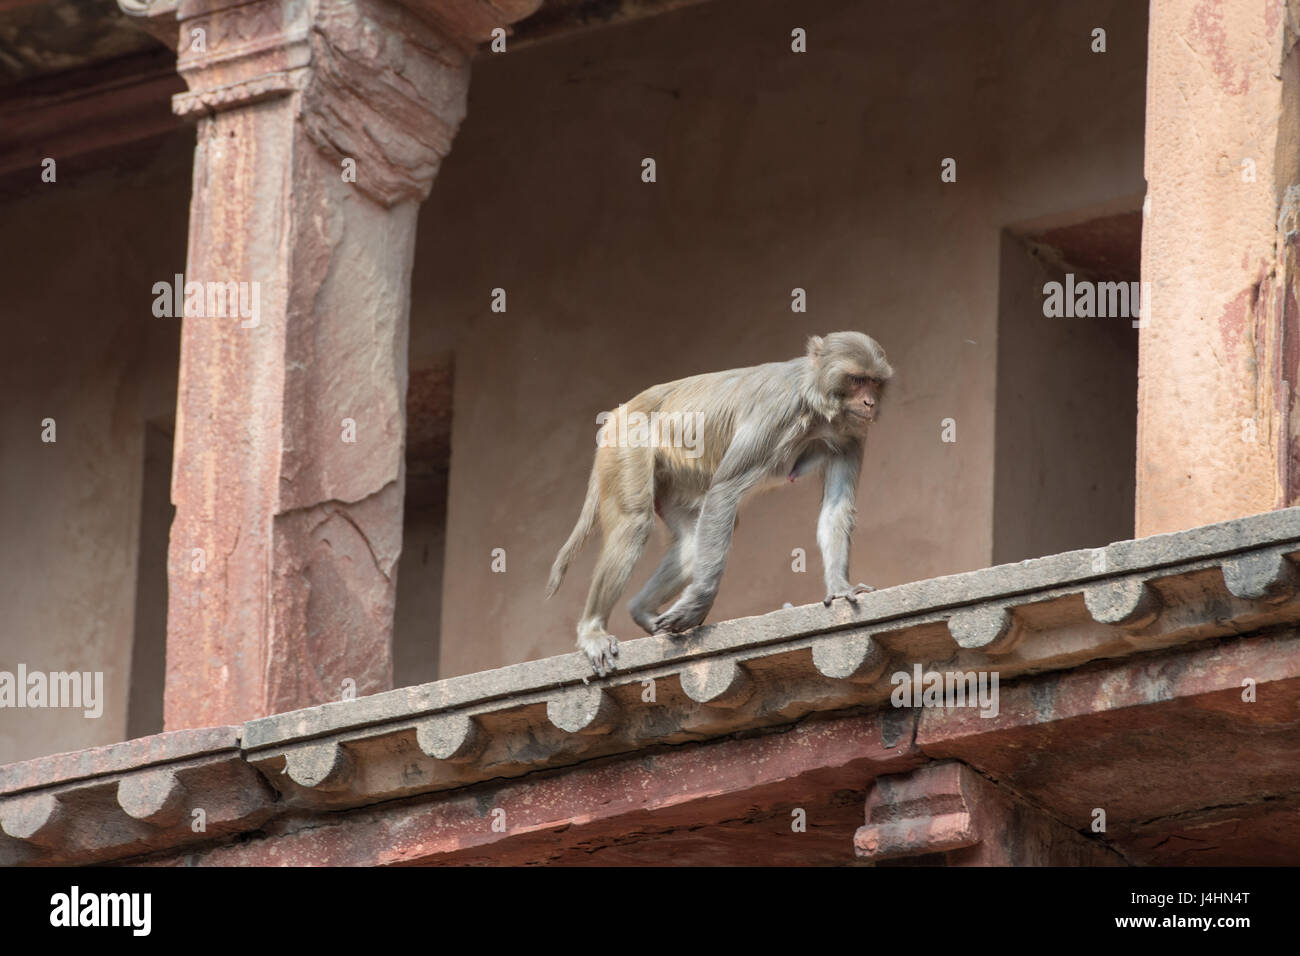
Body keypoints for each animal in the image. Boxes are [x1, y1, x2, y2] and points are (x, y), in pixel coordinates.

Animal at [540, 332, 894, 676]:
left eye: (875, 382)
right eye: (856, 379)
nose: (869, 402)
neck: (817, 406)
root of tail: (620, 411)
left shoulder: (851, 435)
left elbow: (835, 510)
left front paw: (840, 587)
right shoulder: (778, 413)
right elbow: (725, 490)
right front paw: (699, 602)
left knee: (690, 540)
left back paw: (640, 609)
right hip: (627, 441)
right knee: (634, 523)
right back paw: (592, 629)